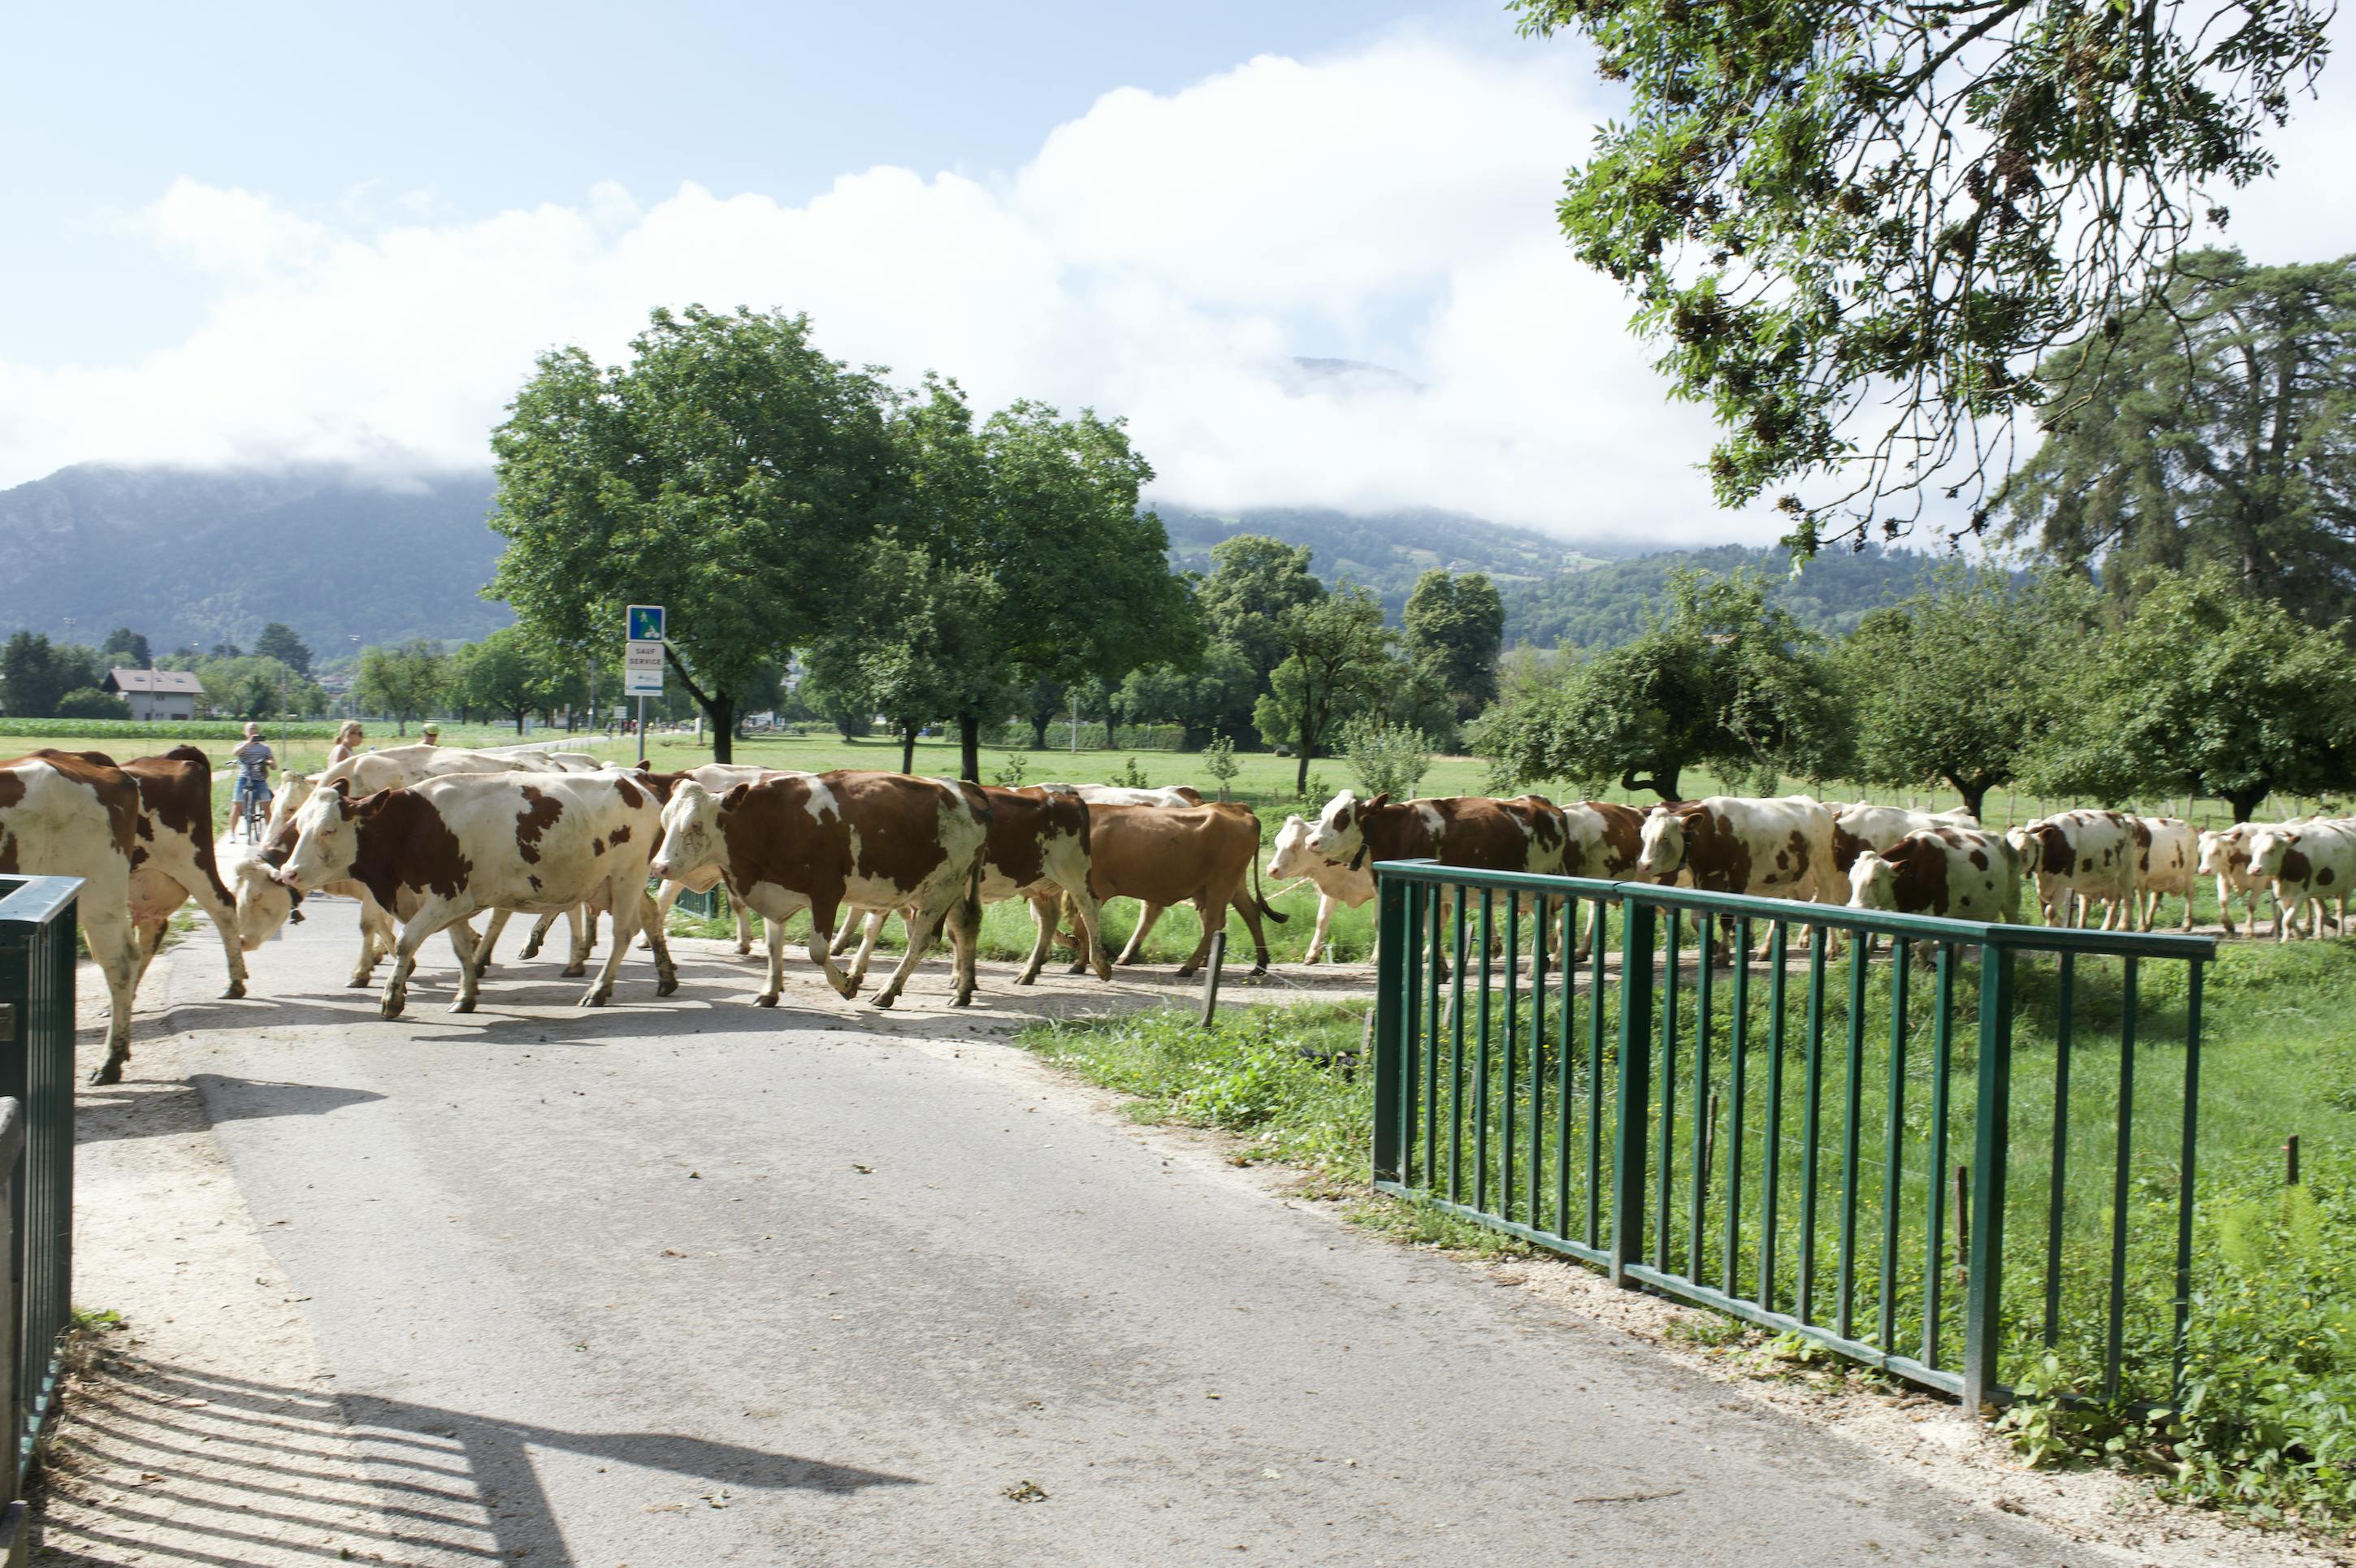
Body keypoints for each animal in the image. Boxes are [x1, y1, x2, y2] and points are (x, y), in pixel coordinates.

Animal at [280, 767, 683, 1012]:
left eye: (329, 829)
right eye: (299, 825)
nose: (289, 872)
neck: (411, 828)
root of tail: (635, 778)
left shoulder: (445, 897)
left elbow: (408, 941)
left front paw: (392, 998)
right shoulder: (455, 902)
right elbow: (461, 949)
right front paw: (466, 995)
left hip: (627, 875)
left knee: (623, 933)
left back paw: (598, 990)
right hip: (611, 882)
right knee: (649, 915)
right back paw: (666, 978)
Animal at [645, 767, 985, 1007]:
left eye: (695, 825)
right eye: (664, 821)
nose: (659, 866)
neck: (770, 823)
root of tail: (963, 788)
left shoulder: (826, 893)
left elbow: (818, 951)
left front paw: (846, 985)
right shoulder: (773, 890)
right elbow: (774, 944)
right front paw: (770, 991)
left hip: (942, 888)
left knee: (921, 939)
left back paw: (889, 991)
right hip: (946, 888)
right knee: (962, 927)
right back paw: (963, 989)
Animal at [1998, 809, 2148, 922]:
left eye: (2024, 850)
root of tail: (2123, 819)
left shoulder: (2062, 886)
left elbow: (2050, 912)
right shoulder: (2043, 887)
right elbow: (2046, 911)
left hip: (2126, 872)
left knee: (2128, 899)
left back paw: (2121, 926)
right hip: (2108, 881)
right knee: (2111, 903)